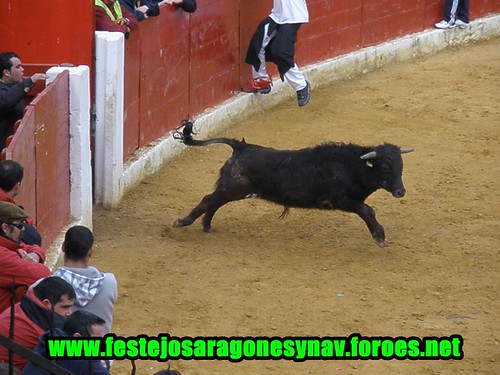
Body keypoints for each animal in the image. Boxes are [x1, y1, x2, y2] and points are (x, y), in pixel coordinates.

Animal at [173, 122, 414, 248]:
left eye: (401, 166)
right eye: (385, 167)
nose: (400, 191)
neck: (353, 165)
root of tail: (241, 147)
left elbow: (367, 210)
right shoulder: (341, 200)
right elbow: (367, 210)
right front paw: (380, 237)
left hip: (232, 189)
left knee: (214, 202)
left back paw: (206, 225)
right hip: (234, 188)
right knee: (208, 200)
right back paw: (182, 222)